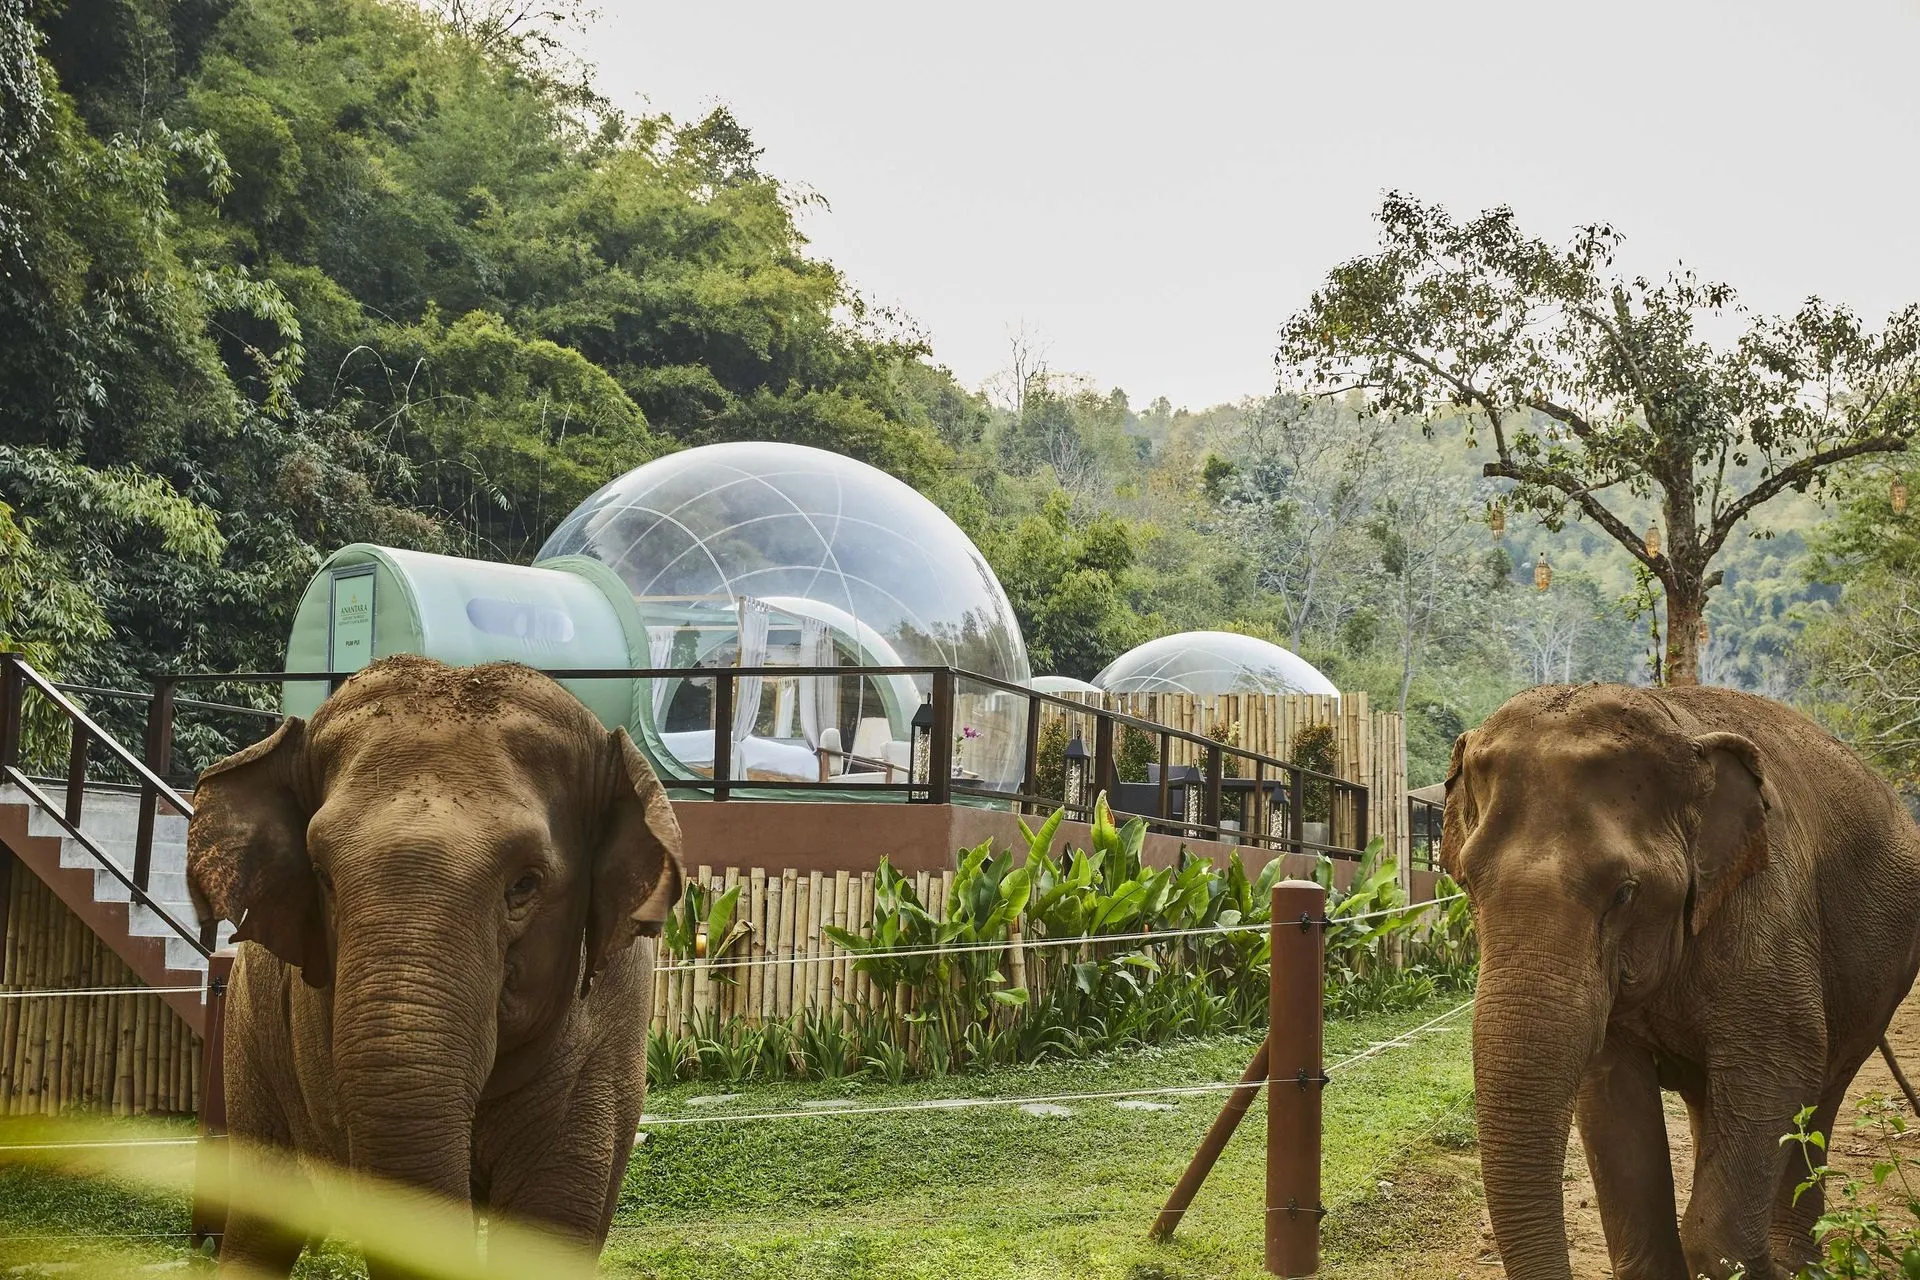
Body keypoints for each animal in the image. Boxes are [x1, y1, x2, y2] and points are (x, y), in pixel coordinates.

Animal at [186, 655, 685, 1275]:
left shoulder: (611, 1025)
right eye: (322, 875)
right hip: (248, 1036)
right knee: (263, 1216)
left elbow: (550, 1227)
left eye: (525, 883)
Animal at [1444, 683, 1920, 1280]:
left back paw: (1793, 1263)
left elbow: (1781, 1061)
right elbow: (1612, 1093)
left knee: (1823, 1090)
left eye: (1624, 892)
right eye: (1467, 882)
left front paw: (1746, 1262)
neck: (1680, 724)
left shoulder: (1767, 901)